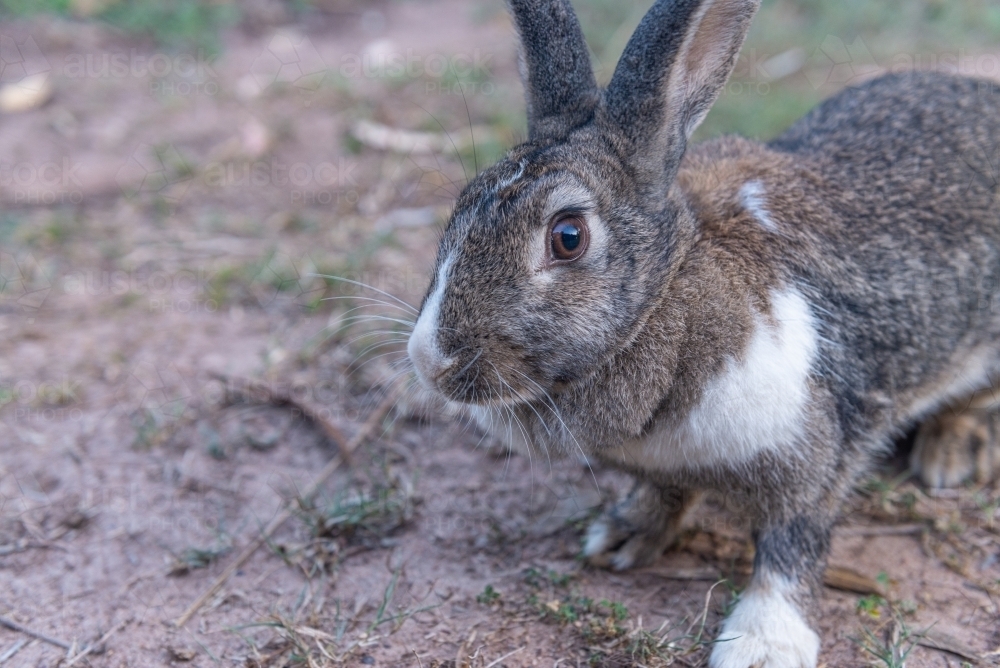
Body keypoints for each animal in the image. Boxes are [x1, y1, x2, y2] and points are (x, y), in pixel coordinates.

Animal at [406, 0, 1000, 660]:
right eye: (462, 205)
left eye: (568, 236)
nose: (431, 360)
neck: (672, 300)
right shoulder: (667, 466)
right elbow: (667, 492)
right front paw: (622, 537)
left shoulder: (816, 451)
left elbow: (792, 549)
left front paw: (762, 645)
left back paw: (950, 454)